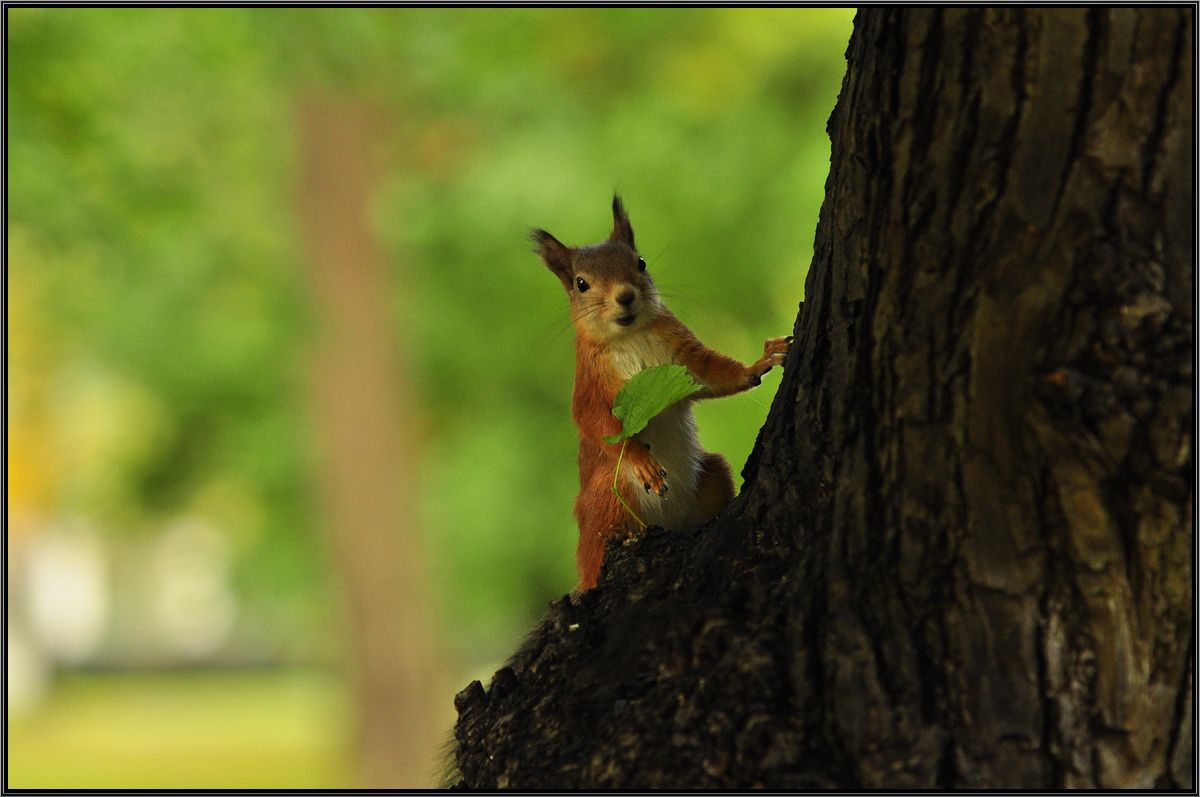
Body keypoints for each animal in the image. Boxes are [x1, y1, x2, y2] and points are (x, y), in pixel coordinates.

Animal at [532, 195, 792, 588]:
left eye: (640, 263)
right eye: (581, 283)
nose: (625, 296)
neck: (630, 336)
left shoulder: (682, 359)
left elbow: (712, 375)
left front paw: (759, 364)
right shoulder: (589, 383)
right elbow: (596, 422)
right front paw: (641, 459)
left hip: (712, 473)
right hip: (607, 499)